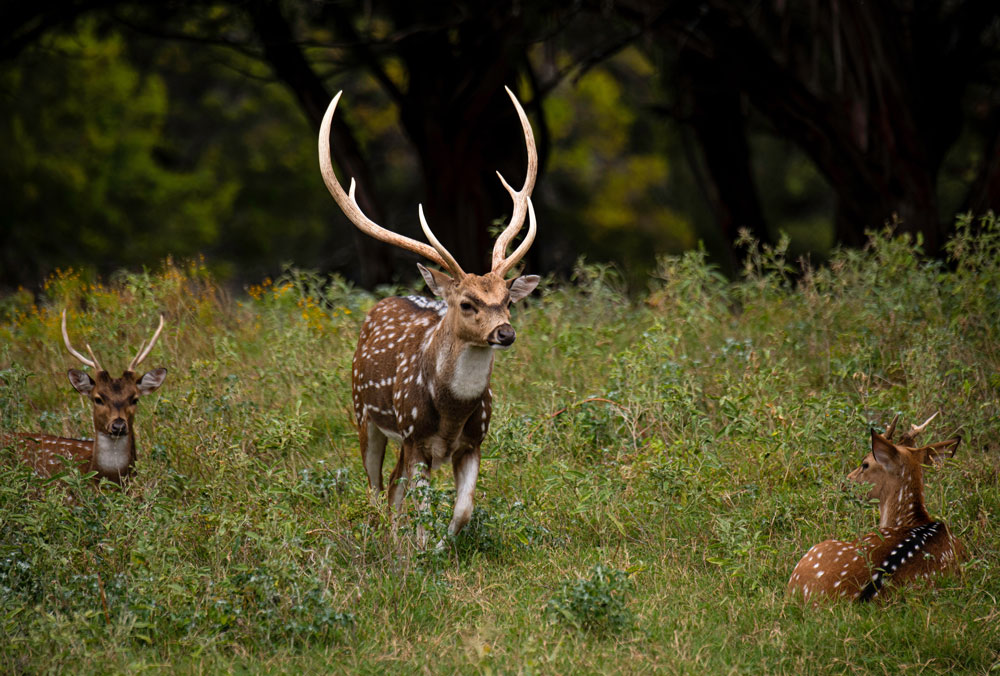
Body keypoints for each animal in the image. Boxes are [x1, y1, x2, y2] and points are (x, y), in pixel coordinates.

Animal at [318, 86, 540, 540]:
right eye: (467, 303)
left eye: (508, 300)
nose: (505, 333)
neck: (451, 416)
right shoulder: (415, 437)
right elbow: (419, 509)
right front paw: (421, 547)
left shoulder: (474, 441)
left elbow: (463, 510)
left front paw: (443, 542)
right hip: (363, 412)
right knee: (376, 485)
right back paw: (382, 533)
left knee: (392, 487)